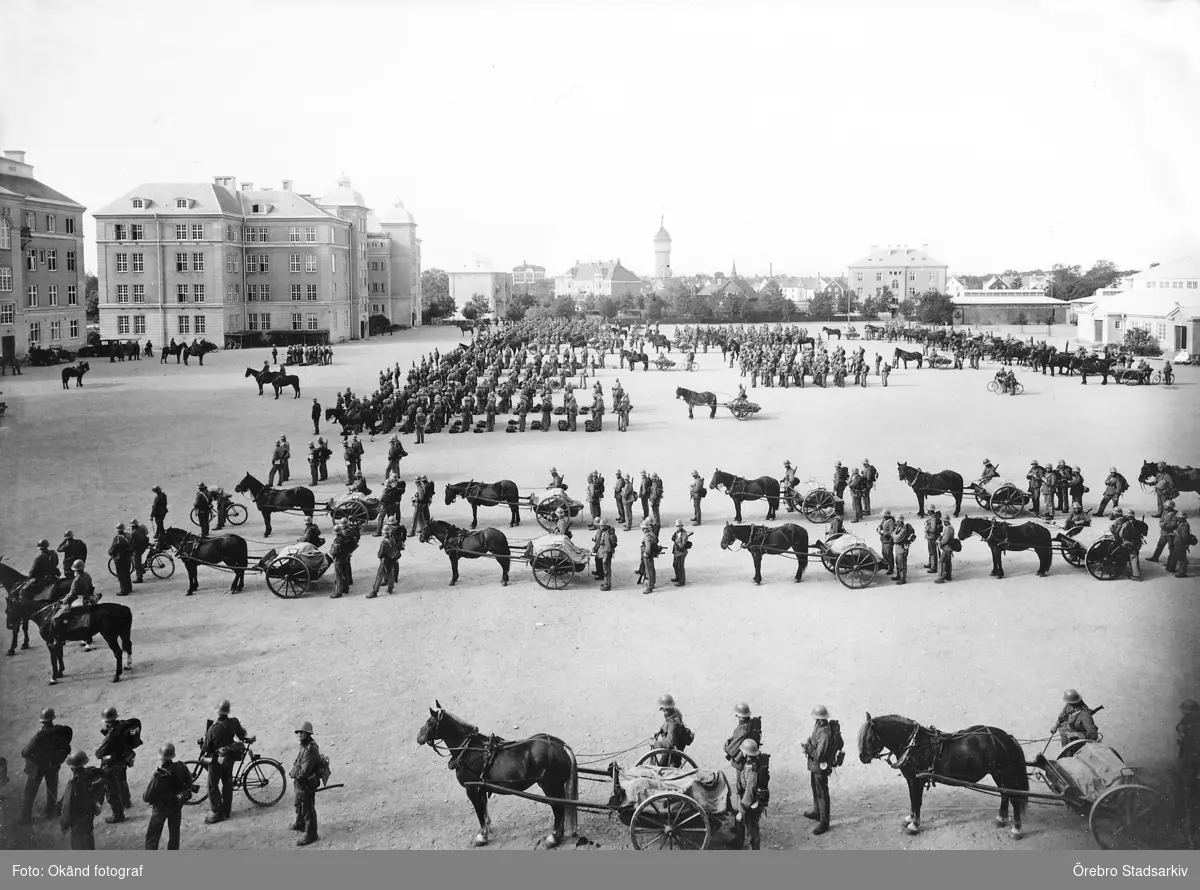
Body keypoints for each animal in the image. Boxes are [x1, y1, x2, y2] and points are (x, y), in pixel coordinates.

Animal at [417, 705, 576, 849]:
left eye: (430, 722)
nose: (418, 737)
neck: (469, 750)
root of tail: (560, 746)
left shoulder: (471, 789)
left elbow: (479, 812)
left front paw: (482, 836)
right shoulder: (480, 788)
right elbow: (484, 808)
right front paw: (487, 827)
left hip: (550, 786)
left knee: (558, 808)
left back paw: (553, 837)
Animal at [854, 714, 1032, 839]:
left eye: (871, 737)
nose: (863, 757)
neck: (915, 745)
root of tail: (1007, 737)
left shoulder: (916, 780)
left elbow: (917, 801)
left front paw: (914, 826)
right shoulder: (911, 780)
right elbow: (912, 800)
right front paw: (909, 819)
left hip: (1004, 773)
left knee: (1014, 799)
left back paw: (1016, 829)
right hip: (999, 774)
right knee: (1004, 795)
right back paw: (1001, 819)